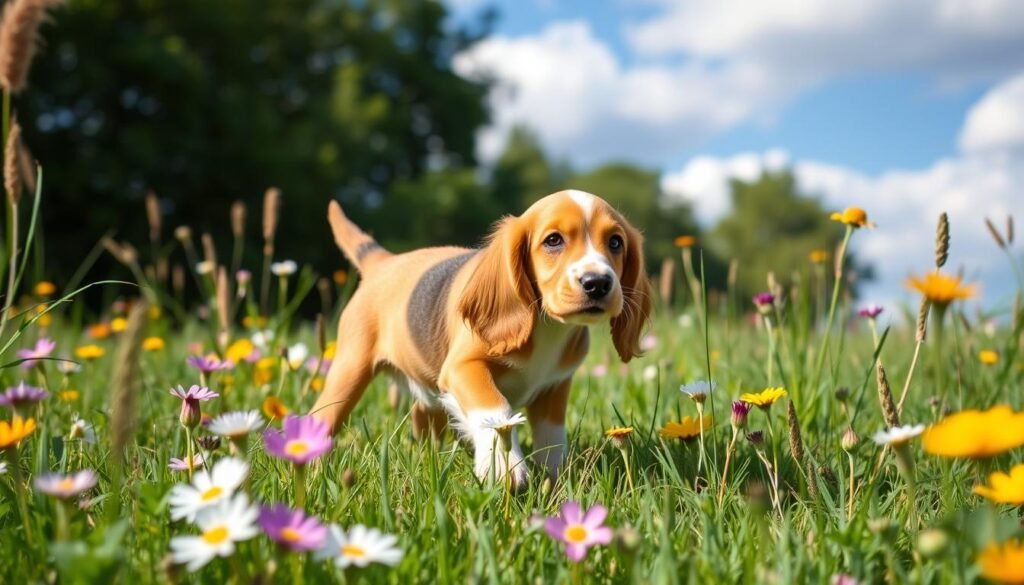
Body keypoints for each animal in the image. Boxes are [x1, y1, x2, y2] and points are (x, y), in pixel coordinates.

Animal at [307, 189, 651, 487]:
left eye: (616, 243)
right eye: (553, 241)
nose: (598, 283)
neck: (548, 327)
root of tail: (384, 261)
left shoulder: (556, 386)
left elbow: (552, 437)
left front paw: (555, 481)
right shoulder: (463, 367)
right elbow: (495, 409)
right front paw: (504, 466)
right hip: (349, 373)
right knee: (322, 416)